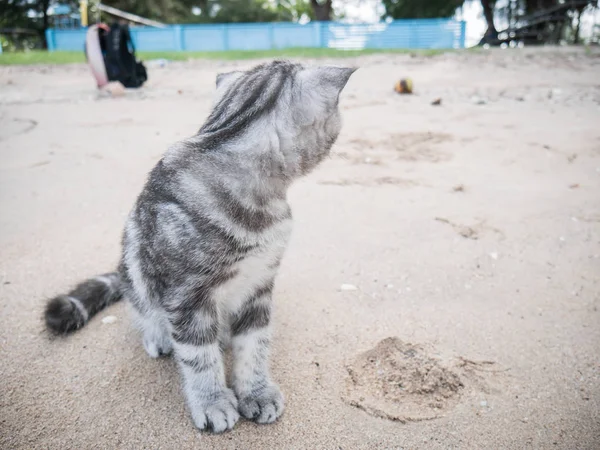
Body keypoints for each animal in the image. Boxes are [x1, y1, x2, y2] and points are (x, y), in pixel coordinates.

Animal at [44, 59, 354, 432]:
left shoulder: (259, 285)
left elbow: (255, 346)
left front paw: (256, 392)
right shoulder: (187, 297)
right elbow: (199, 358)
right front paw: (213, 402)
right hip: (136, 275)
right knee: (144, 311)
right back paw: (159, 337)